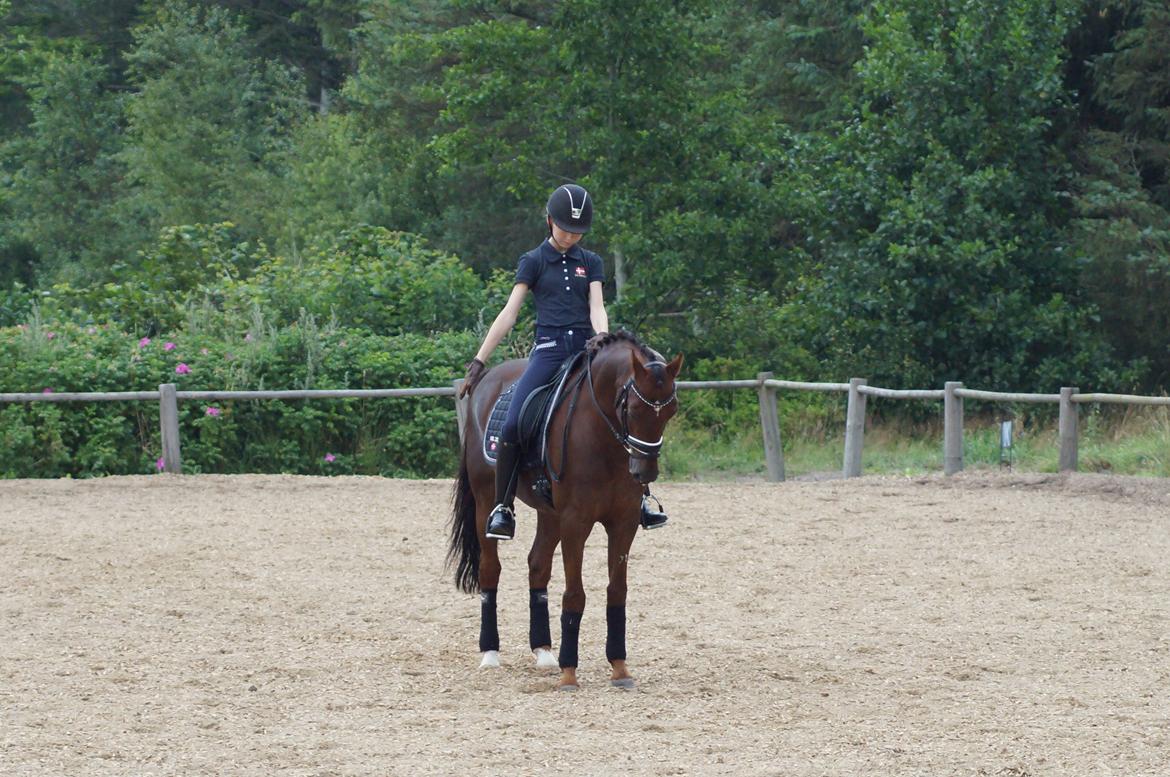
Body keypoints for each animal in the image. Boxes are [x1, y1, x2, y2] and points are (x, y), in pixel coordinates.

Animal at [448, 331, 683, 690]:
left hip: (549, 513)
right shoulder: (576, 521)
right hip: (487, 499)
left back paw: (544, 651)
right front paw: (569, 672)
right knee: (491, 569)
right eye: (631, 407)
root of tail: (486, 381)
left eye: (670, 410)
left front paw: (619, 668)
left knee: (538, 566)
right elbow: (575, 594)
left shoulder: (623, 522)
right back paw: (490, 654)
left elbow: (617, 591)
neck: (602, 437)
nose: (645, 472)